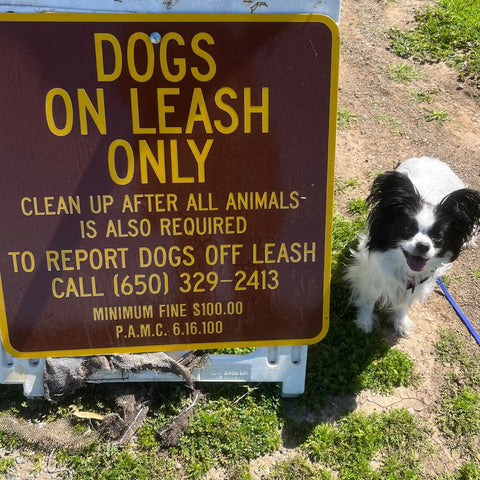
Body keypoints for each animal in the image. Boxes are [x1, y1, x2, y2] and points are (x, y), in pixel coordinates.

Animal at [344, 156, 480, 336]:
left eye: (438, 237)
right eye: (407, 229)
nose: (423, 246)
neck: (403, 268)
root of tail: (431, 158)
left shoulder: (418, 283)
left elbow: (404, 304)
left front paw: (401, 322)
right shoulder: (372, 273)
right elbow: (369, 298)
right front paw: (364, 322)